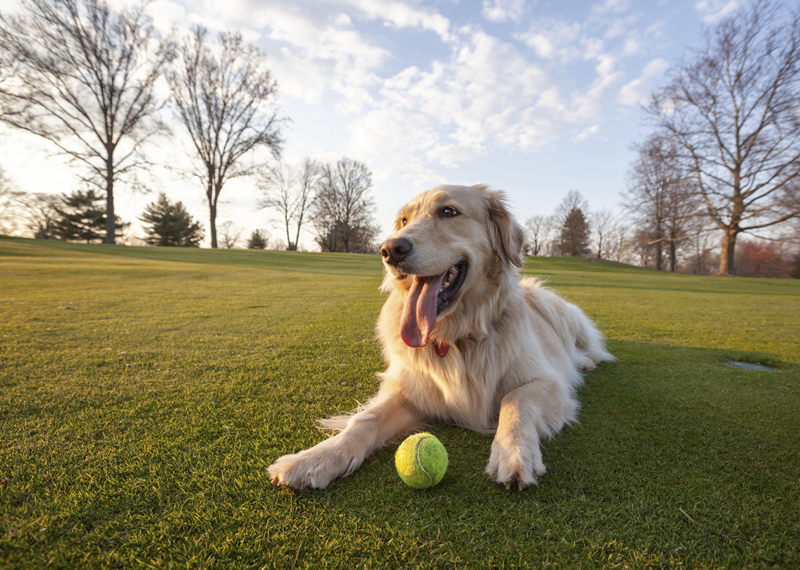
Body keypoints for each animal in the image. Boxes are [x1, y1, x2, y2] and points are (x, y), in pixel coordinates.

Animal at [268, 182, 612, 488]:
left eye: (448, 211)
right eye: (404, 221)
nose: (390, 249)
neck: (455, 337)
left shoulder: (548, 382)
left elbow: (515, 400)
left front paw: (514, 453)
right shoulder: (411, 390)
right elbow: (365, 419)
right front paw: (317, 458)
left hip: (554, 306)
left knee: (587, 347)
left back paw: (584, 362)